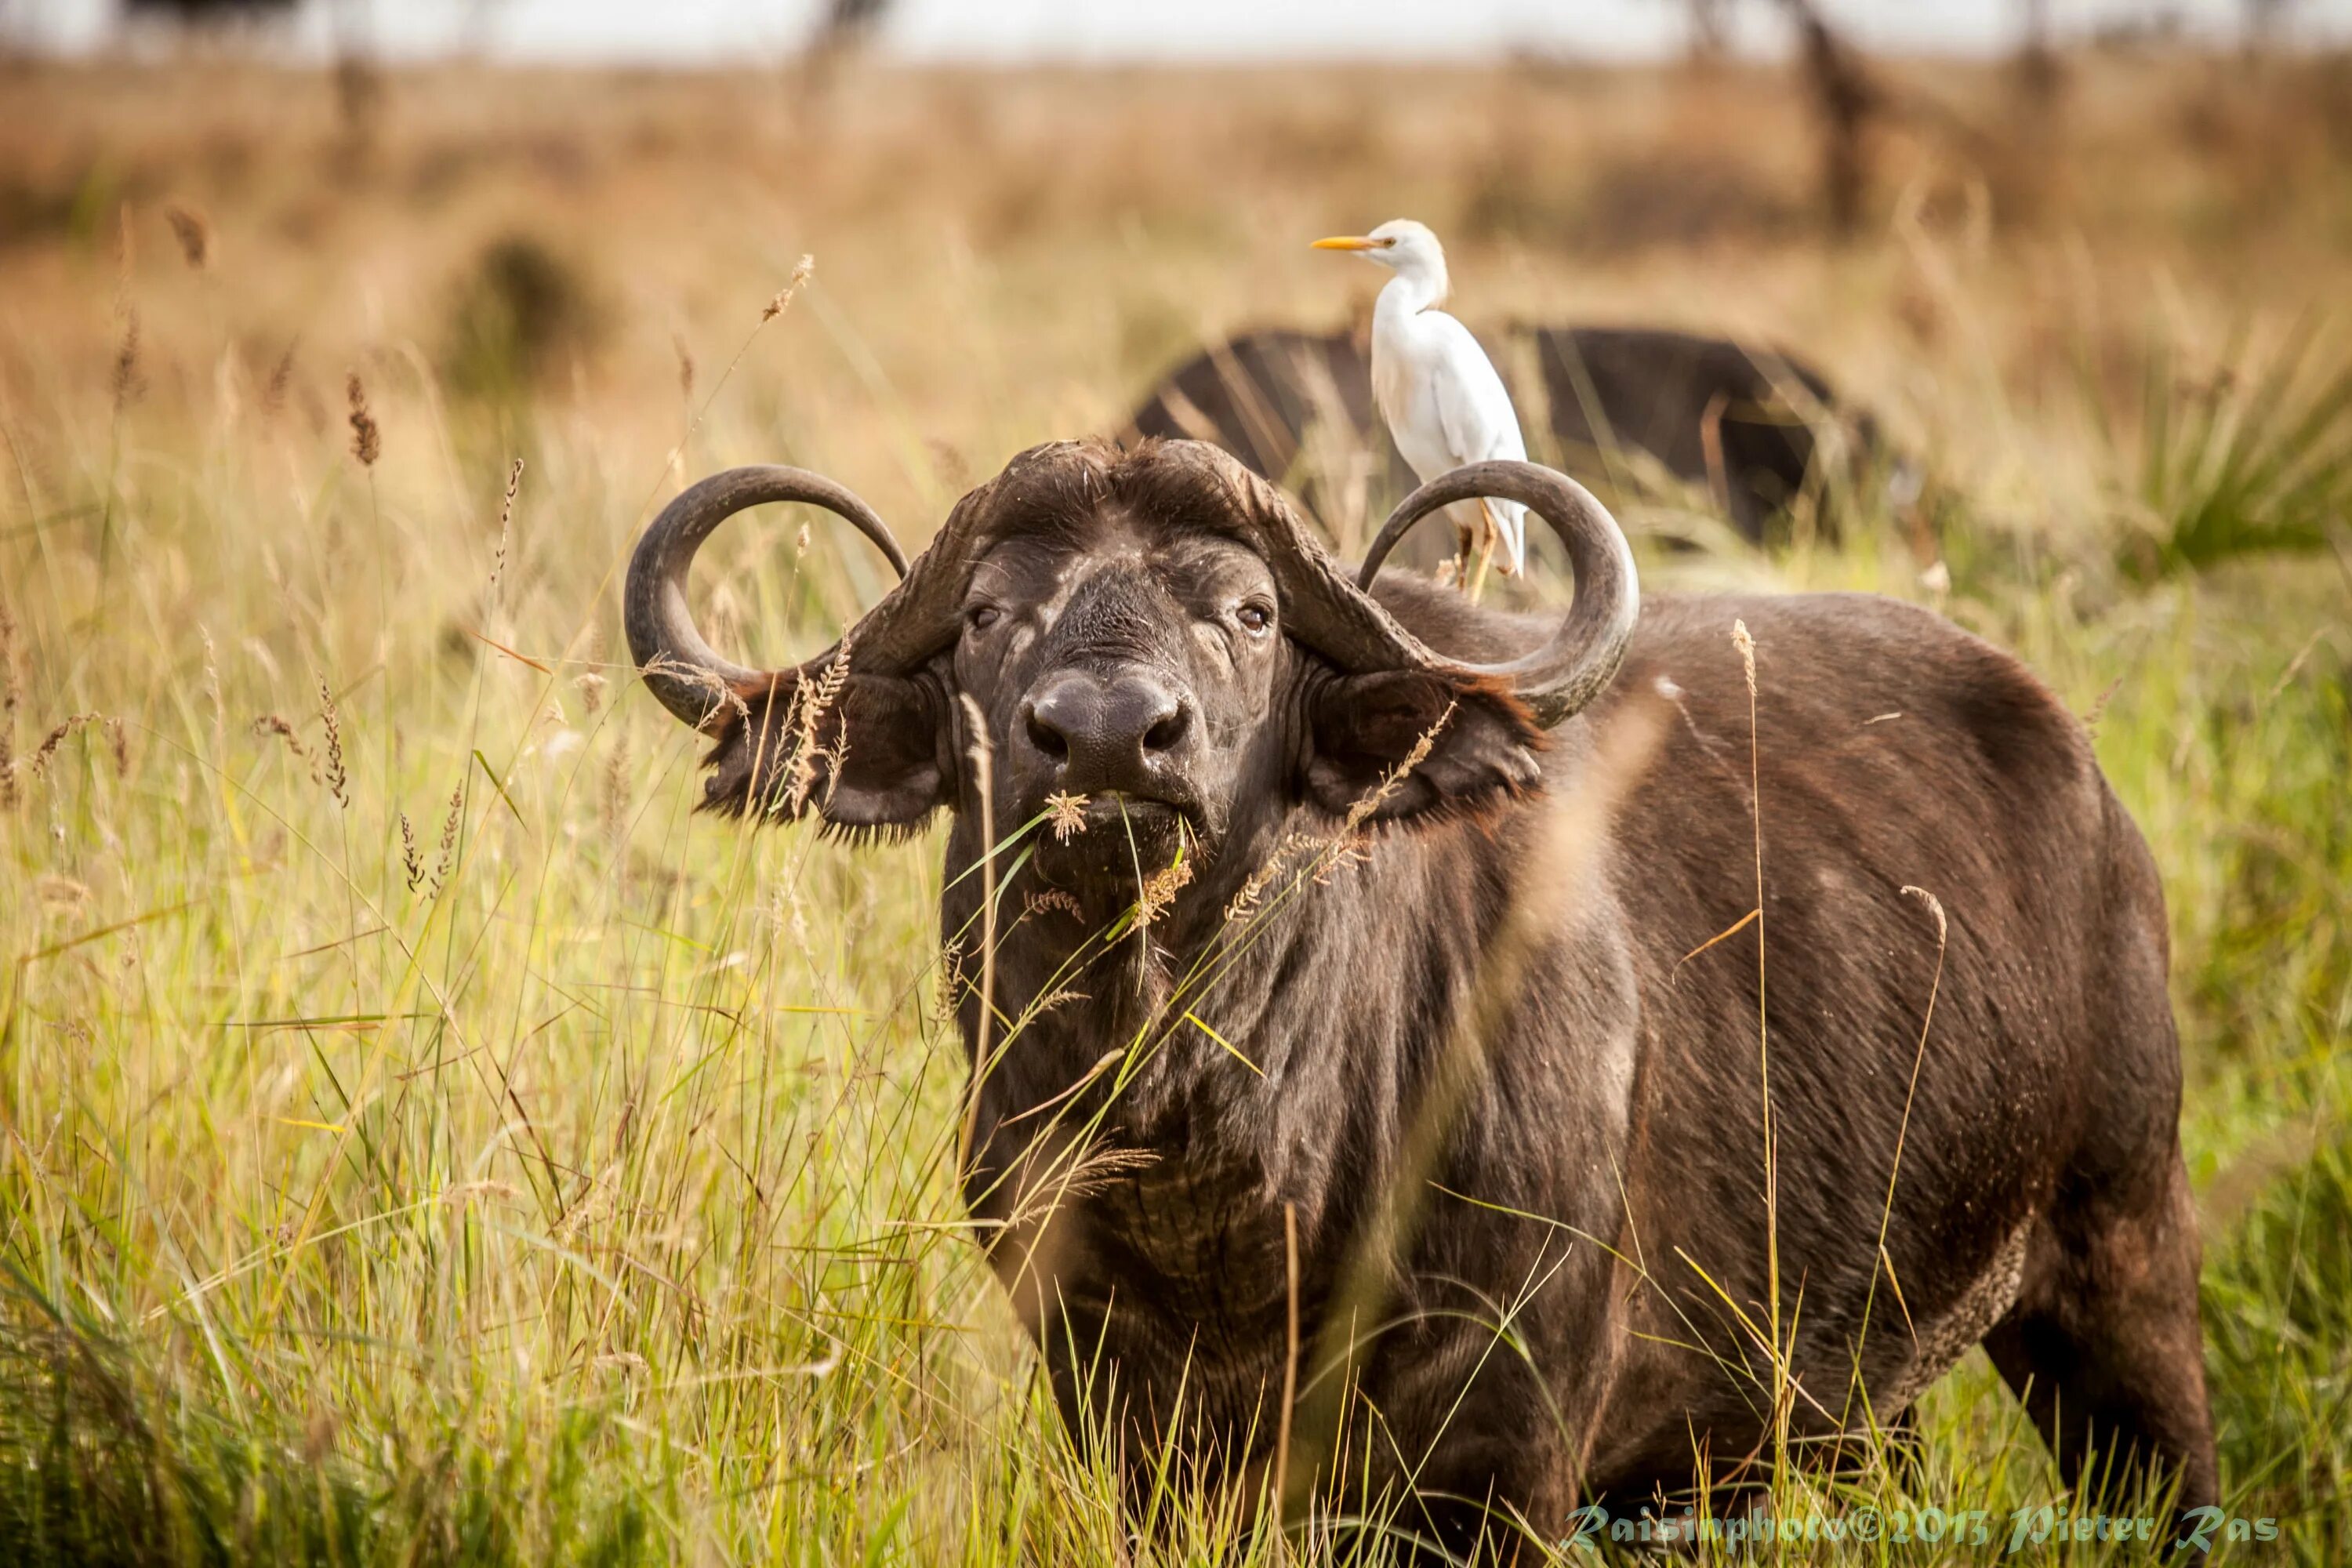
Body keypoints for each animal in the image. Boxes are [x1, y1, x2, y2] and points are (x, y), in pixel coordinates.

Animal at [621, 441, 2201, 1561]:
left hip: (2123, 1273)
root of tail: (2094, 797)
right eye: (989, 616)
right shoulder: (1130, 1424)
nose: (1112, 740)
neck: (1222, 1152)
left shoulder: (1512, 1455)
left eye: (1252, 612)